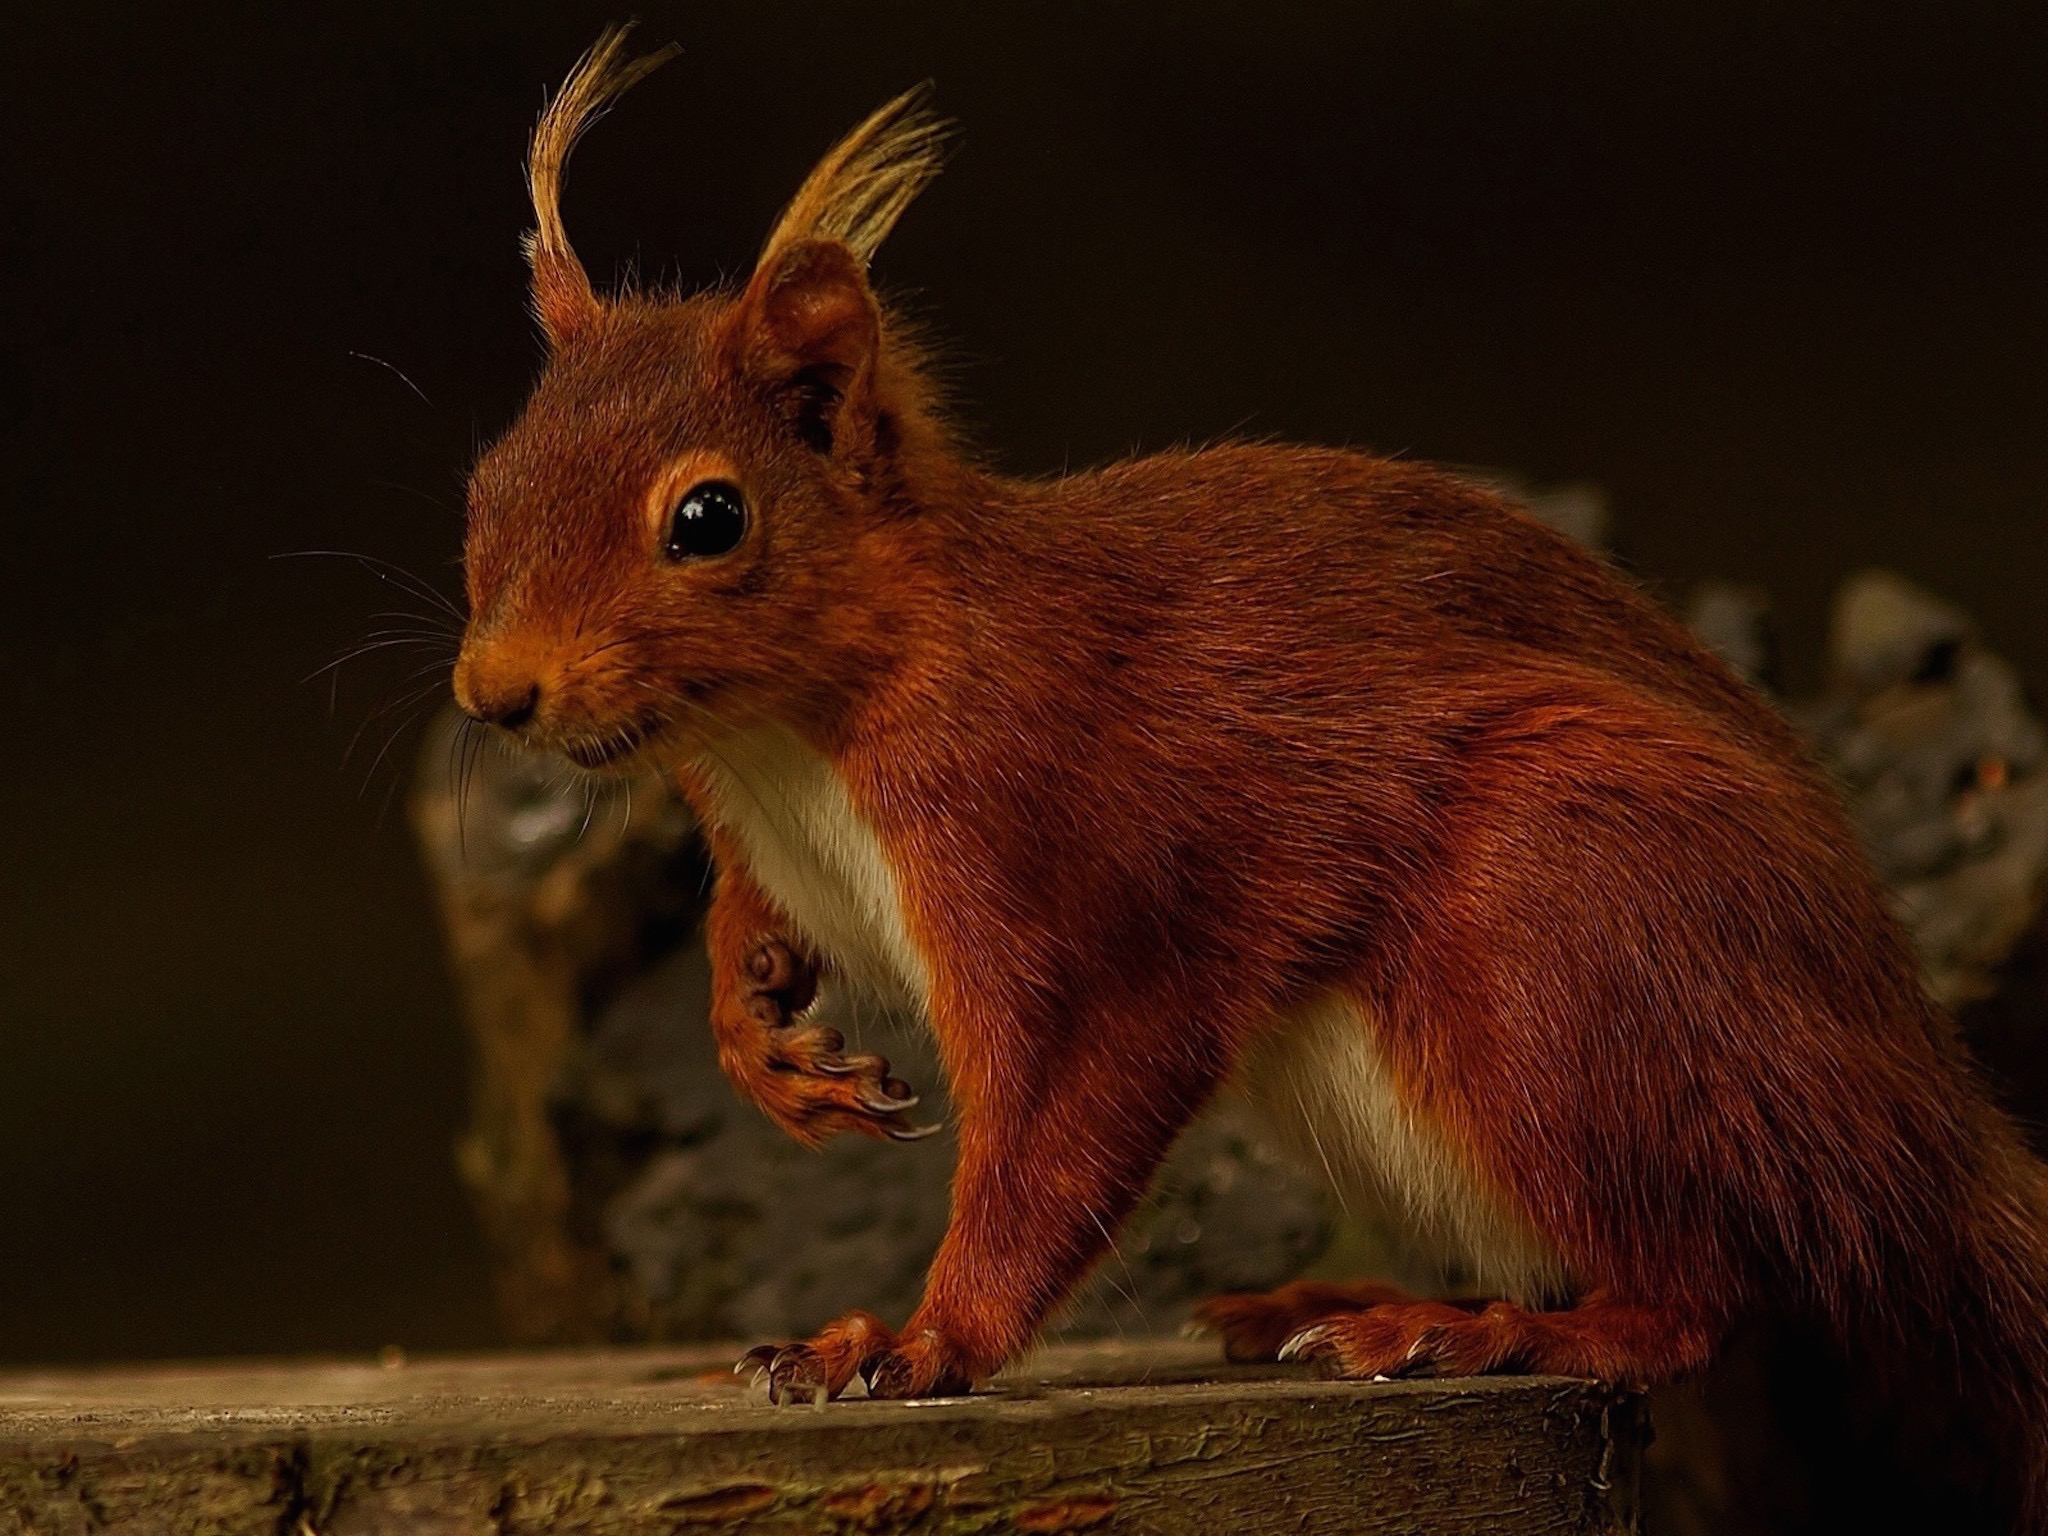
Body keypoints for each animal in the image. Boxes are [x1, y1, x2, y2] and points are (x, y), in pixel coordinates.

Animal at [456, 27, 2048, 1531]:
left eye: (707, 518)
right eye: (485, 484)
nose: (495, 692)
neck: (789, 741)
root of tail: (1919, 1128)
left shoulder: (1072, 859)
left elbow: (1062, 1128)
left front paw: (914, 1342)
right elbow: (750, 932)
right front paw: (766, 1043)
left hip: (1563, 920)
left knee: (1695, 1293)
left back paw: (1466, 1330)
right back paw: (1346, 1302)